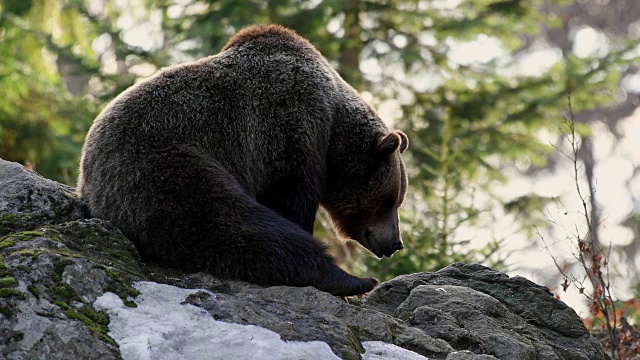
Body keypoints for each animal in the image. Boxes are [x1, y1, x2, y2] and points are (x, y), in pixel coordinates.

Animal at [77, 24, 408, 296]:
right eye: (390, 200)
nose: (395, 243)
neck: (332, 128)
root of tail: (86, 177)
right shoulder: (289, 130)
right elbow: (290, 200)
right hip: (158, 169)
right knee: (233, 224)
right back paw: (350, 280)